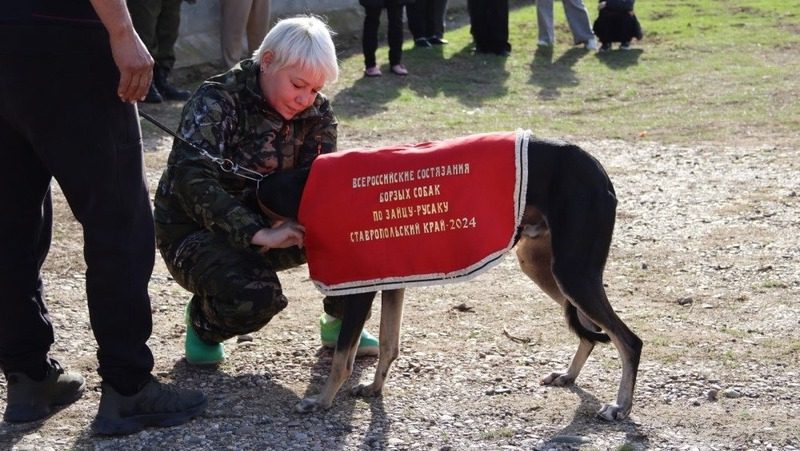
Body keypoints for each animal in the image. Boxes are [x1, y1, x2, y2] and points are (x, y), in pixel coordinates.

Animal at [258, 134, 644, 424]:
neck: (303, 185)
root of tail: (596, 168)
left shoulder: (360, 289)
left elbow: (342, 358)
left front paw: (320, 402)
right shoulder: (392, 281)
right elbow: (389, 345)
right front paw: (374, 390)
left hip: (573, 273)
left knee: (630, 341)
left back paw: (620, 407)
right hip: (543, 268)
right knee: (590, 331)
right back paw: (570, 375)